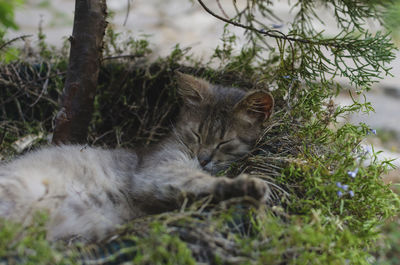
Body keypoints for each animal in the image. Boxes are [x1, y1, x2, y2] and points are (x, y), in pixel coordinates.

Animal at [0, 71, 274, 241]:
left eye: (224, 142)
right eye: (196, 134)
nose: (203, 159)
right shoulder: (159, 171)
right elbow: (202, 181)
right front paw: (249, 185)